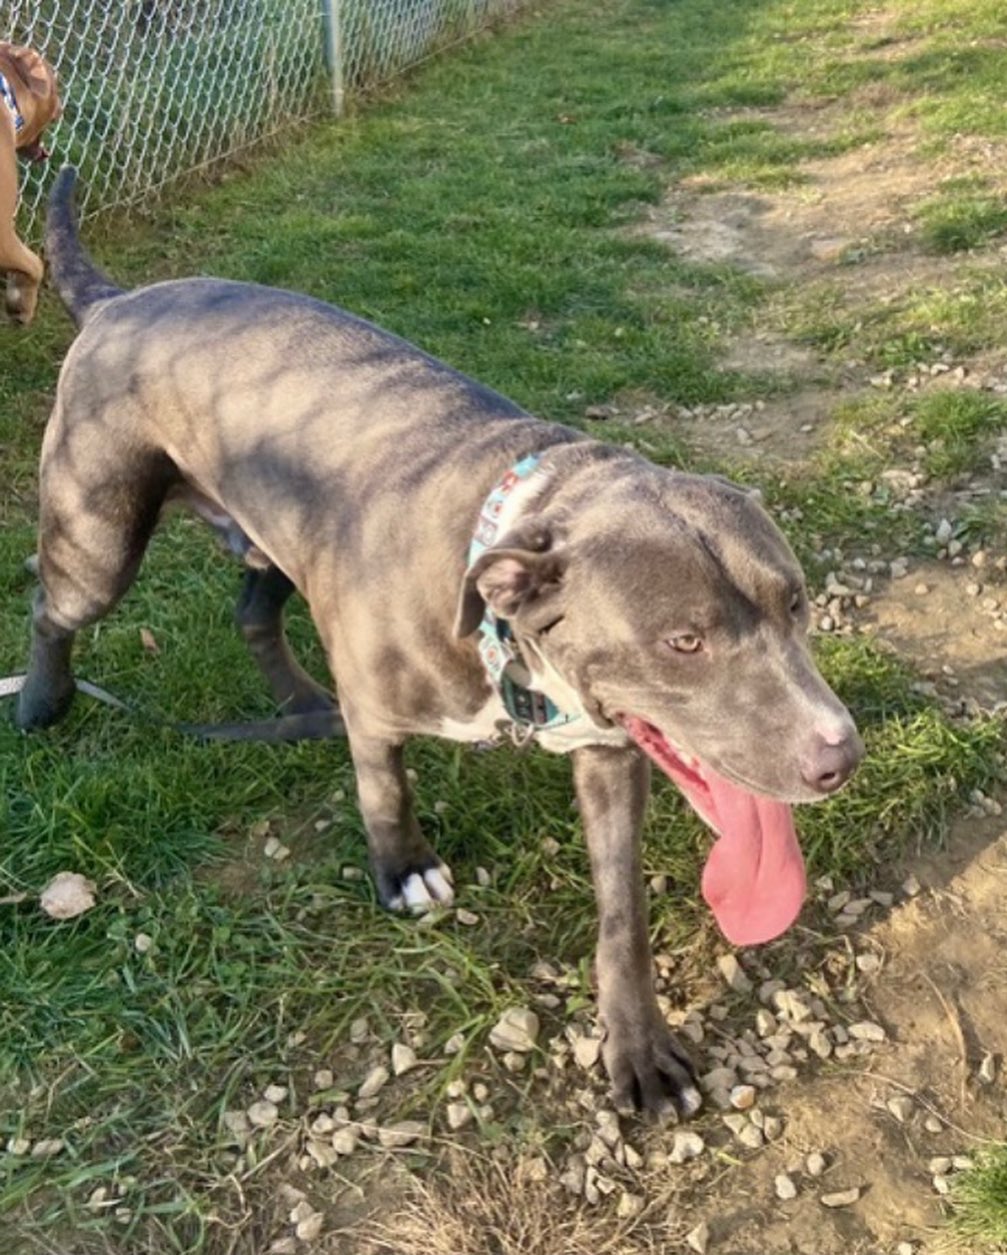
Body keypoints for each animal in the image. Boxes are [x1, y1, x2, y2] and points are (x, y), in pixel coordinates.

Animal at [19, 166, 858, 1119]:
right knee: (49, 599)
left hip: (267, 536)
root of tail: (118, 302)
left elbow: (621, 915)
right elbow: (383, 786)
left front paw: (638, 1046)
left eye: (795, 603)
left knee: (252, 612)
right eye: (684, 641)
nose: (839, 756)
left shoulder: (609, 754)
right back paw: (42, 701)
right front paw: (403, 869)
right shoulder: (384, 709)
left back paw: (301, 703)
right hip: (98, 540)